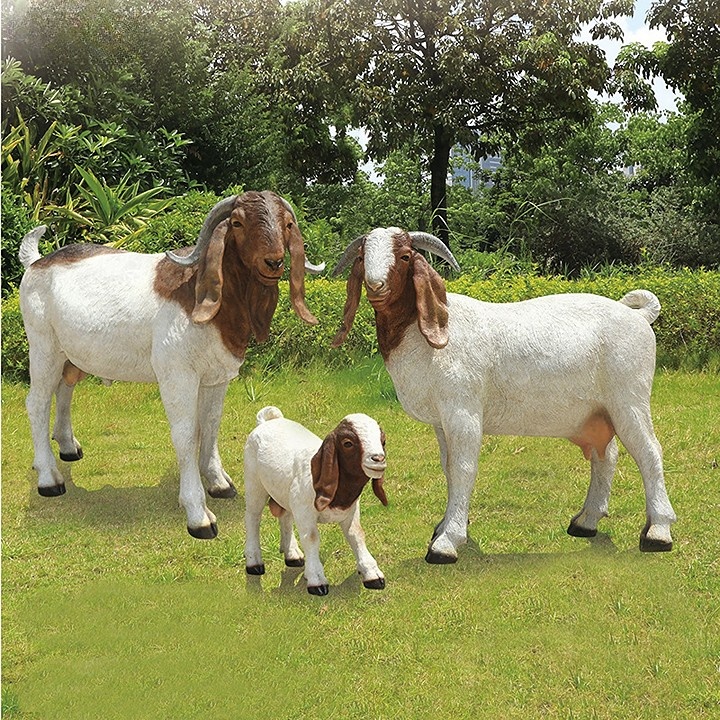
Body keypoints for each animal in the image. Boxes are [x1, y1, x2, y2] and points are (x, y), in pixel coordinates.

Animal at [18, 191, 324, 538]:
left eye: (286, 224)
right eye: (237, 222)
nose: (273, 262)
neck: (198, 294)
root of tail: (36, 263)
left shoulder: (216, 378)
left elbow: (211, 425)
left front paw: (219, 483)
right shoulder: (178, 376)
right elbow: (186, 433)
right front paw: (198, 514)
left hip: (68, 355)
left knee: (64, 389)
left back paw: (68, 448)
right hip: (43, 347)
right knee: (37, 402)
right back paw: (49, 479)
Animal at [243, 406, 388, 595]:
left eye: (383, 441)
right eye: (348, 443)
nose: (378, 459)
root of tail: (267, 421)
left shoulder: (351, 510)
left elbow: (356, 534)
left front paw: (372, 573)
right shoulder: (305, 511)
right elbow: (311, 538)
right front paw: (316, 580)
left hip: (286, 496)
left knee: (286, 518)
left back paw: (292, 555)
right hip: (254, 484)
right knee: (253, 517)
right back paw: (254, 562)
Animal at [331, 227, 676, 562]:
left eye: (404, 255)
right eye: (362, 256)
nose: (376, 286)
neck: (425, 334)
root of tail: (639, 317)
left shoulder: (463, 411)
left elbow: (463, 468)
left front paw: (447, 542)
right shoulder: (441, 421)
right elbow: (448, 467)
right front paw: (444, 525)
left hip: (629, 397)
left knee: (649, 451)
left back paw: (658, 532)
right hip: (598, 411)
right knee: (606, 455)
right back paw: (585, 522)